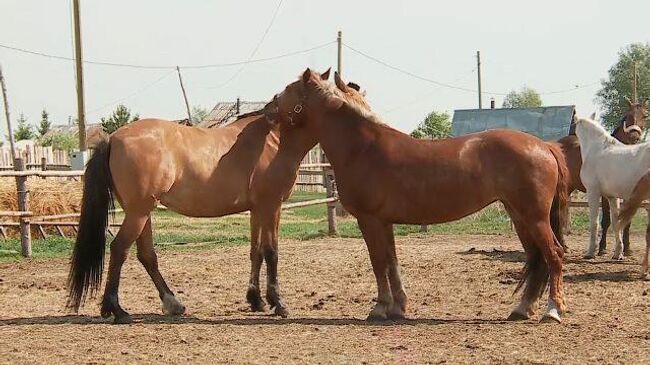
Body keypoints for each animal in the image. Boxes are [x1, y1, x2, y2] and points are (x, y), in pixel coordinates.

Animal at [66, 67, 370, 322]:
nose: (269, 109)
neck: (274, 141)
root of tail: (113, 138)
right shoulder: (271, 206)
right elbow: (271, 251)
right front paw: (278, 303)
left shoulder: (257, 209)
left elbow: (256, 251)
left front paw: (256, 300)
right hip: (139, 213)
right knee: (119, 249)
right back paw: (116, 309)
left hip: (141, 212)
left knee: (146, 255)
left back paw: (172, 303)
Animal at [268, 69, 568, 322]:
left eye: (289, 88)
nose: (269, 106)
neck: (363, 148)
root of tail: (544, 146)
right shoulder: (385, 221)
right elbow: (392, 263)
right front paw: (398, 308)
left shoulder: (369, 220)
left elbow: (378, 263)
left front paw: (379, 308)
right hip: (519, 216)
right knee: (537, 258)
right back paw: (522, 309)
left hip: (534, 217)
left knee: (553, 254)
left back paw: (552, 310)